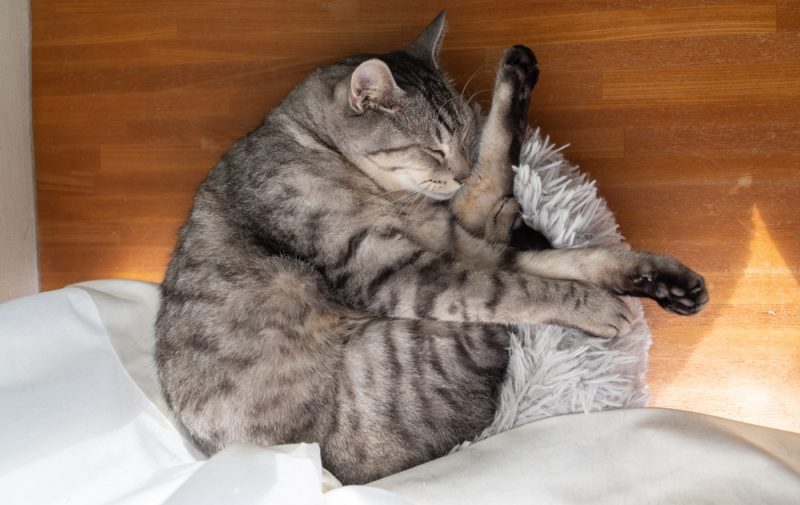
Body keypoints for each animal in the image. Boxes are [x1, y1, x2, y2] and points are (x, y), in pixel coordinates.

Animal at [155, 12, 708, 484]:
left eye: (463, 136)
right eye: (432, 148)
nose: (456, 171)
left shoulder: (442, 237)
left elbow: (553, 258)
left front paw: (655, 279)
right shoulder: (401, 272)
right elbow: (518, 287)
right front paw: (595, 307)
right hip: (430, 345)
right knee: (501, 274)